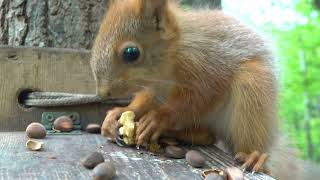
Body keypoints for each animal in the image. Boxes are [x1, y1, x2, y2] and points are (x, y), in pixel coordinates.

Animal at [90, 0, 320, 179]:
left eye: (131, 52)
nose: (103, 93)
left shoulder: (206, 67)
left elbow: (195, 100)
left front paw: (157, 119)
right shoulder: (155, 89)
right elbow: (144, 102)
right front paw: (117, 114)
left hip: (254, 87)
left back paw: (255, 157)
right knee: (208, 137)